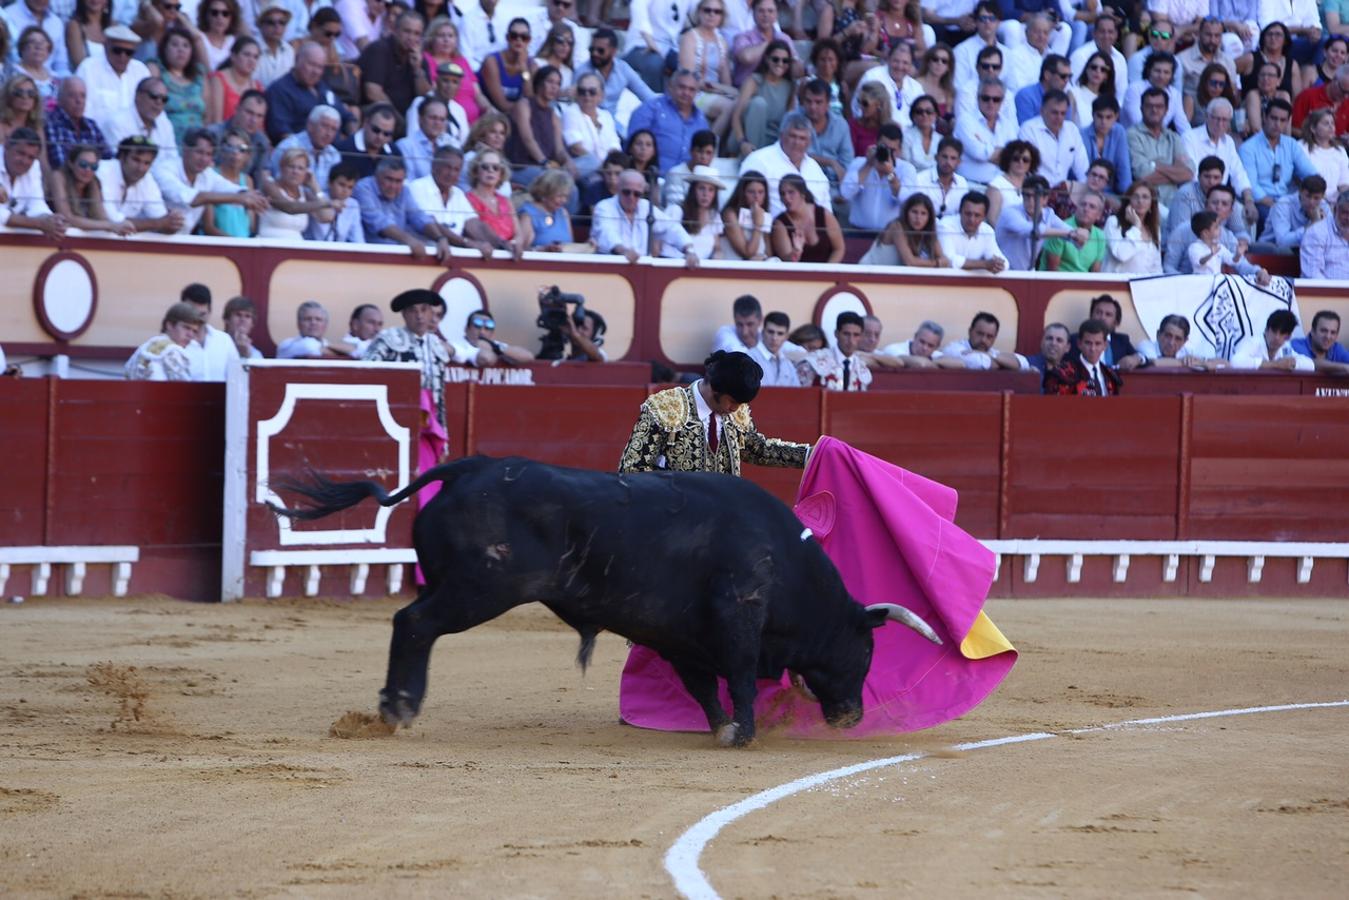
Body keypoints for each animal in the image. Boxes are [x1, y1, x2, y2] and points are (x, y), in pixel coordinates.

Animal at [272, 458, 938, 744]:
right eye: (866, 650)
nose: (852, 715)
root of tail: (472, 467)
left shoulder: (682, 637)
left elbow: (705, 686)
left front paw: (720, 728)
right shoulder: (739, 613)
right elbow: (743, 675)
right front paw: (743, 733)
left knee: (409, 622)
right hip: (476, 591)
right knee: (413, 623)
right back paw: (398, 707)